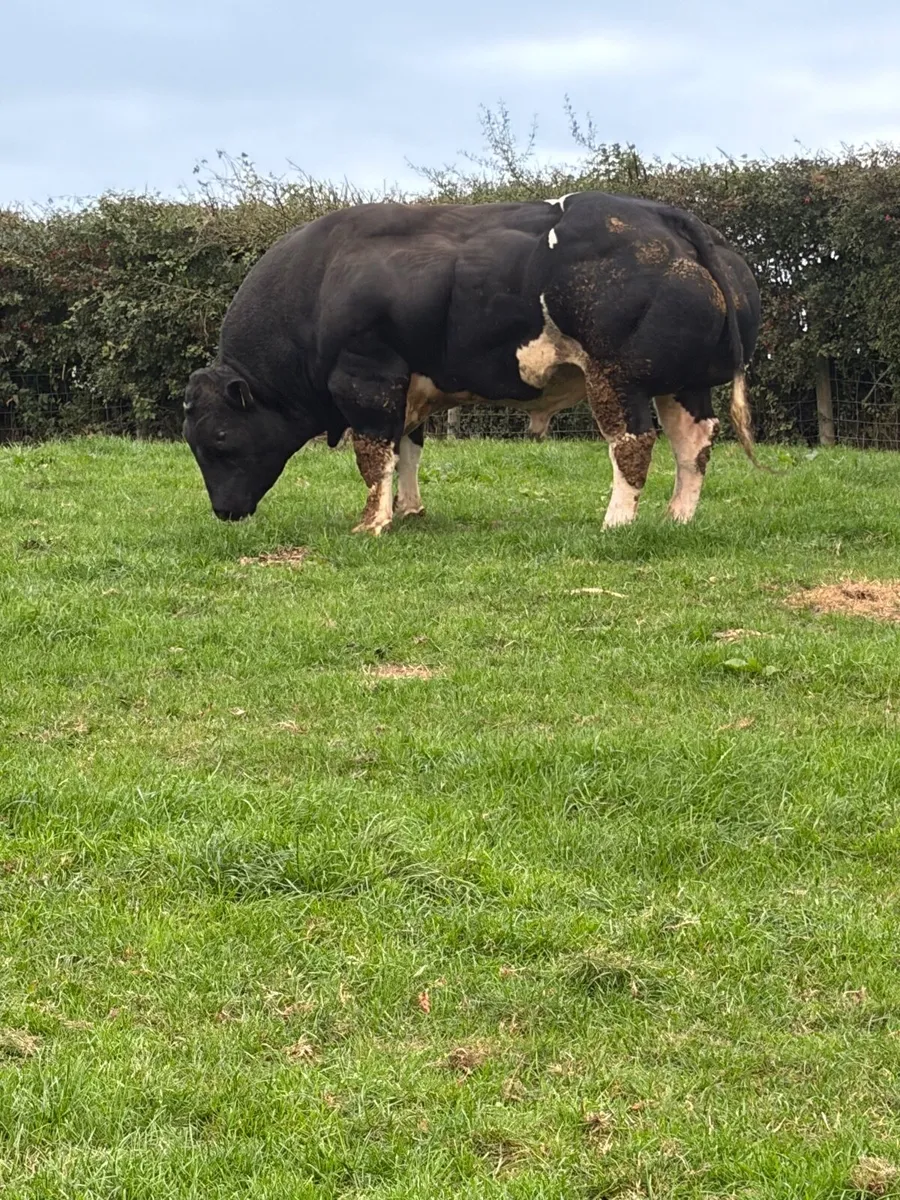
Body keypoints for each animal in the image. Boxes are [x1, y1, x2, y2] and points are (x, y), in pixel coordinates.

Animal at [183, 192, 760, 534]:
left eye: (220, 438)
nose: (224, 512)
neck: (319, 283)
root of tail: (664, 216)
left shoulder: (366, 379)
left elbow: (373, 454)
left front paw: (372, 522)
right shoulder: (412, 385)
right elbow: (407, 450)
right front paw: (410, 510)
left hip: (618, 379)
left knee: (633, 442)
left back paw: (616, 521)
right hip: (682, 384)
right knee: (694, 444)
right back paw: (677, 516)